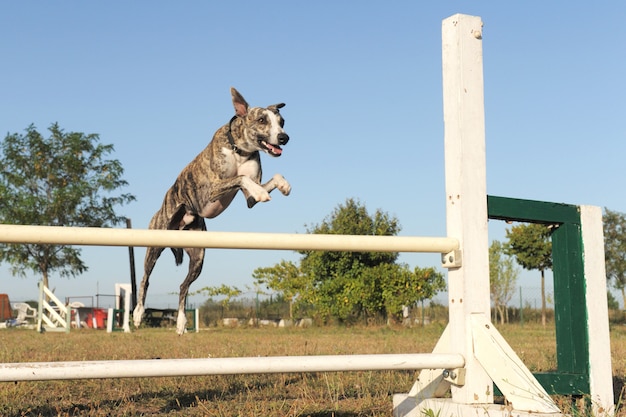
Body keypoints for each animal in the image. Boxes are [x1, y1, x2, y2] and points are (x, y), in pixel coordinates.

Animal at [134, 88, 290, 334]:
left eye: (282, 122)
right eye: (262, 120)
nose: (284, 137)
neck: (239, 150)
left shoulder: (248, 200)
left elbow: (267, 179)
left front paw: (283, 185)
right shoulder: (213, 189)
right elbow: (241, 177)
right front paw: (262, 192)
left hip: (198, 259)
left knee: (183, 286)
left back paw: (181, 323)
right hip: (155, 245)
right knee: (145, 279)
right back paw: (138, 315)